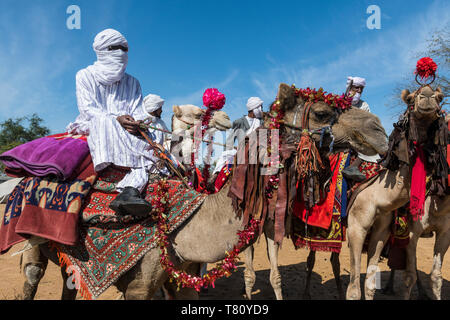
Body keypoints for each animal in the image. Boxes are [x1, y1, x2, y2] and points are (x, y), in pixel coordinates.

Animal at [344, 85, 446, 300]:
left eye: (439, 97)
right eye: (410, 99)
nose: (427, 95)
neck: (378, 197)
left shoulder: (382, 230)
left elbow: (369, 284)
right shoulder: (356, 227)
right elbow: (354, 289)